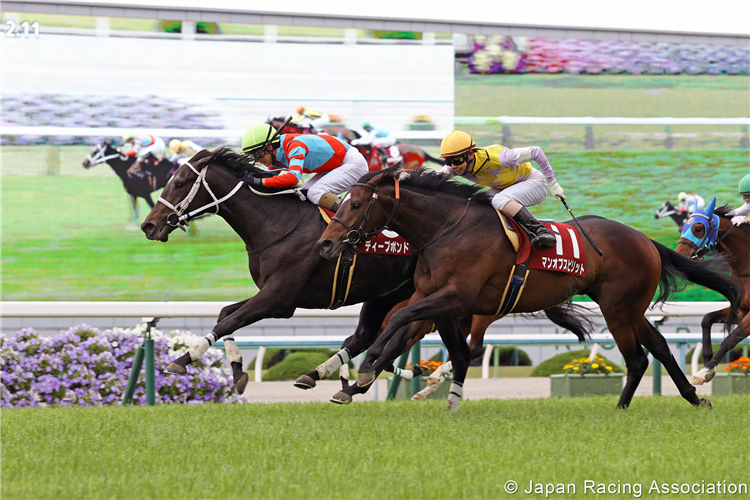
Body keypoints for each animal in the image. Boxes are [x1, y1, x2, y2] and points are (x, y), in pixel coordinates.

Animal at [142, 146, 592, 396]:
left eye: (178, 182)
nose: (149, 225)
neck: (273, 222)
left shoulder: (280, 298)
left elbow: (227, 319)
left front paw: (182, 359)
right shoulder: (274, 296)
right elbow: (225, 315)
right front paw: (235, 373)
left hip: (424, 296)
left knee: (407, 334)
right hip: (388, 294)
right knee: (367, 335)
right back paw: (327, 373)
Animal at [676, 201, 750, 384]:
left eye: (698, 228)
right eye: (684, 226)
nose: (678, 255)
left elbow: (730, 339)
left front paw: (704, 372)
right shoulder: (740, 310)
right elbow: (706, 319)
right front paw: (708, 362)